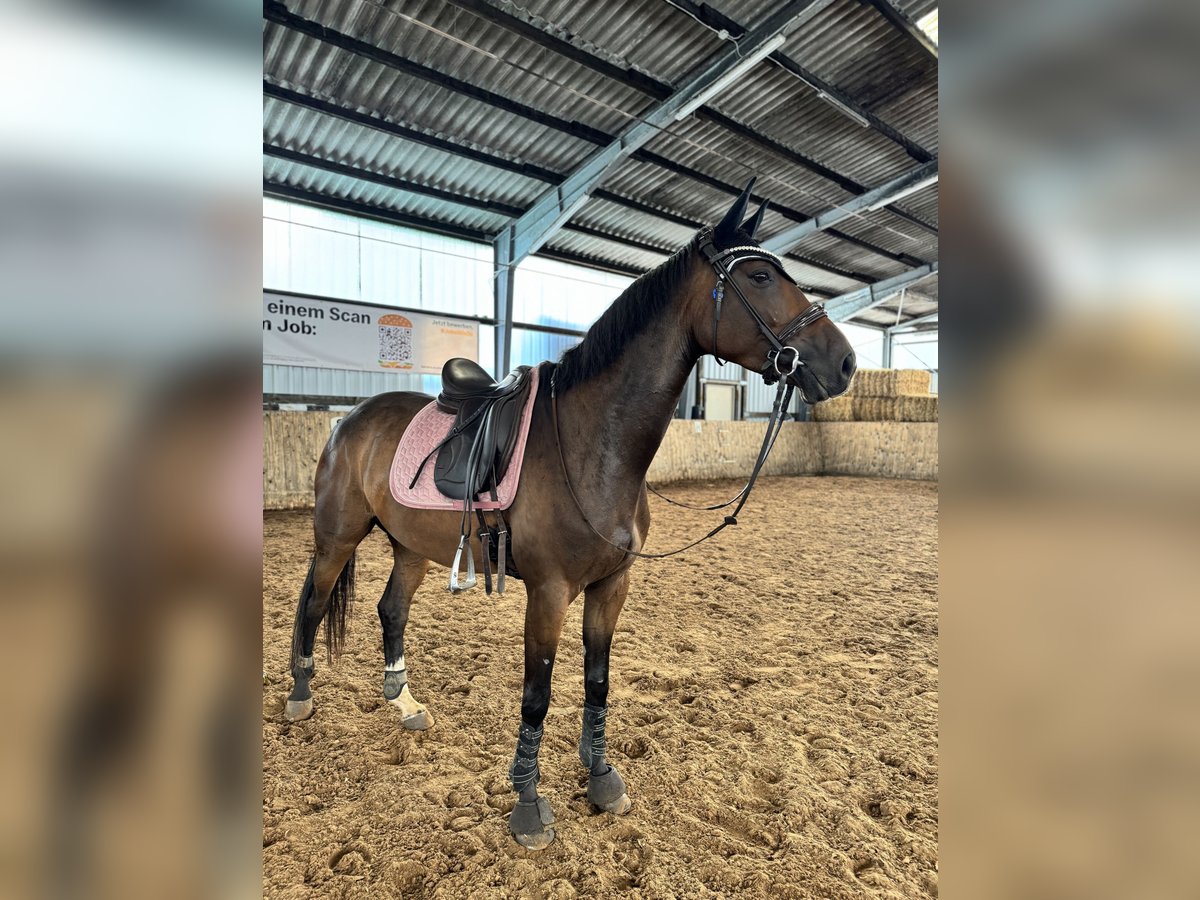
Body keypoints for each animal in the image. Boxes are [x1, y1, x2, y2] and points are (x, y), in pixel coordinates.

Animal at [285, 180, 859, 849]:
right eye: (762, 276)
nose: (845, 363)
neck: (594, 445)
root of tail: (350, 419)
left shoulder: (611, 585)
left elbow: (597, 680)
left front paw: (602, 776)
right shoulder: (549, 592)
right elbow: (537, 696)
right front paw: (529, 805)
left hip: (410, 546)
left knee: (391, 610)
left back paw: (403, 704)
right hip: (337, 538)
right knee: (315, 602)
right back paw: (300, 697)